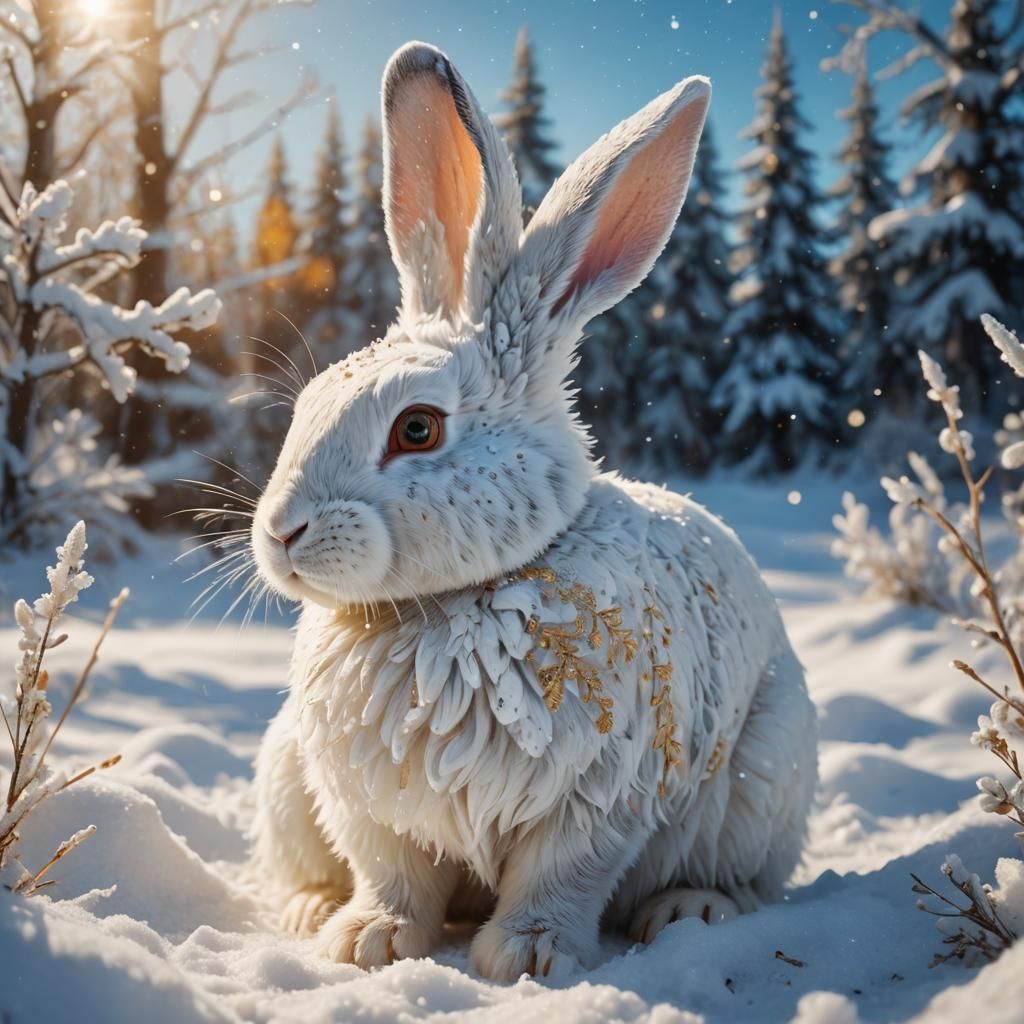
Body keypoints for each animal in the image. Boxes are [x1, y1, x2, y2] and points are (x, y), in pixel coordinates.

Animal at [248, 41, 817, 982]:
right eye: (309, 404)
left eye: (417, 428)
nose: (280, 534)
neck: (448, 604)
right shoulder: (373, 809)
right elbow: (392, 875)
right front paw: (369, 943)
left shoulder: (596, 799)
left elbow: (562, 877)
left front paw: (524, 957)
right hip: (286, 775)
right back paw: (307, 910)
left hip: (764, 780)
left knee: (740, 879)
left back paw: (690, 910)